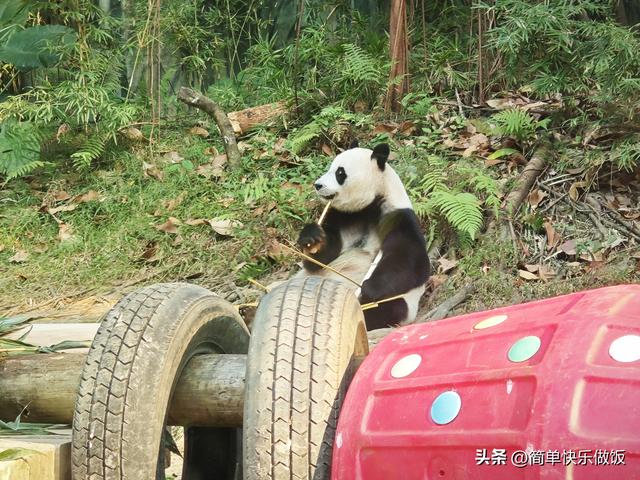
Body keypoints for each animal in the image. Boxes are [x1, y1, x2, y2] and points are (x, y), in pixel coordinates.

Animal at [296, 141, 430, 330]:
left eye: (340, 173)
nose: (318, 185)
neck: (370, 203)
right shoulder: (345, 215)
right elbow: (320, 259)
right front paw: (312, 240)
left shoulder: (397, 216)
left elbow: (412, 261)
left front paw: (370, 287)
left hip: (400, 304)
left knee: (385, 308)